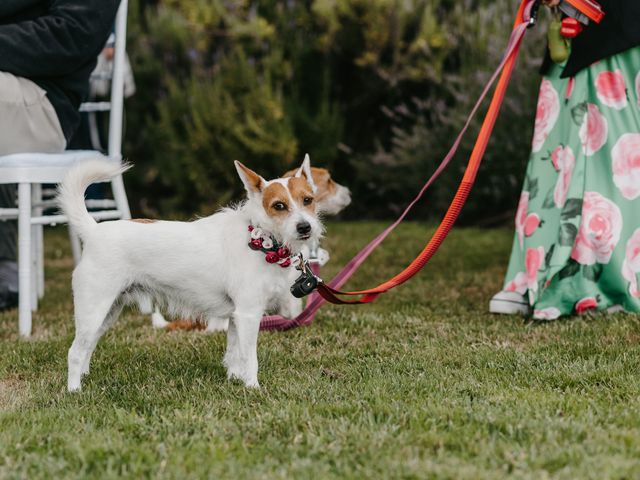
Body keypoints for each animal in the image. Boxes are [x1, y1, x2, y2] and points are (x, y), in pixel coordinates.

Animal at [57, 156, 322, 388]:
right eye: (279, 206)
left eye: (308, 200)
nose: (305, 227)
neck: (261, 237)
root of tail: (93, 231)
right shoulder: (248, 315)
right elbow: (250, 358)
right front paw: (252, 387)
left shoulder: (235, 318)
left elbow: (234, 353)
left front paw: (235, 379)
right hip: (93, 309)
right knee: (75, 352)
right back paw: (75, 390)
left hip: (106, 313)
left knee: (88, 346)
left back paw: (85, 377)